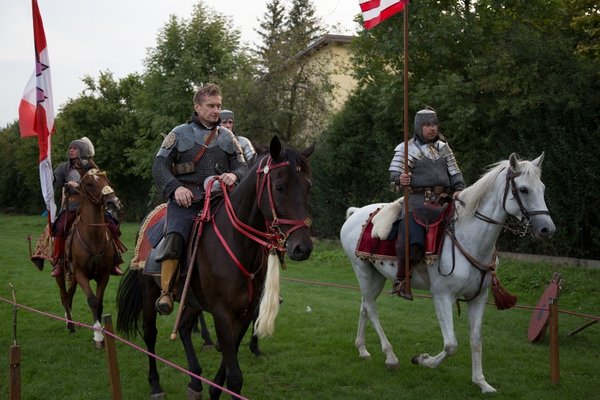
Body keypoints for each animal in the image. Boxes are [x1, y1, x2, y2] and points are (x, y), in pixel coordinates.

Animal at [56, 168, 122, 346]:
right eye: (90, 184)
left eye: (106, 180)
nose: (114, 202)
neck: (93, 238)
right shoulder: (81, 274)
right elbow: (92, 300)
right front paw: (98, 334)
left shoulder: (104, 274)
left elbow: (99, 302)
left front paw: (102, 332)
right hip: (61, 274)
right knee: (64, 295)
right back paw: (70, 324)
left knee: (70, 294)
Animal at [116, 136, 314, 398]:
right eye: (280, 187)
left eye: (307, 187)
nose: (303, 247)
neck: (238, 242)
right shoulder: (221, 313)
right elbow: (235, 377)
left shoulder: (244, 313)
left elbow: (227, 368)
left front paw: (213, 390)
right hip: (149, 293)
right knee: (150, 335)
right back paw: (156, 384)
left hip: (192, 300)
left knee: (184, 329)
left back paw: (195, 380)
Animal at [340, 153, 556, 394]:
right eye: (524, 189)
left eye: (542, 188)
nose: (547, 229)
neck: (469, 237)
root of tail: (355, 213)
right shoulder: (442, 296)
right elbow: (451, 345)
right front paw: (422, 360)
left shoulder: (478, 297)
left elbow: (476, 339)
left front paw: (481, 382)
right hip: (363, 271)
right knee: (371, 308)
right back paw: (391, 357)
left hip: (375, 276)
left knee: (364, 306)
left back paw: (362, 349)